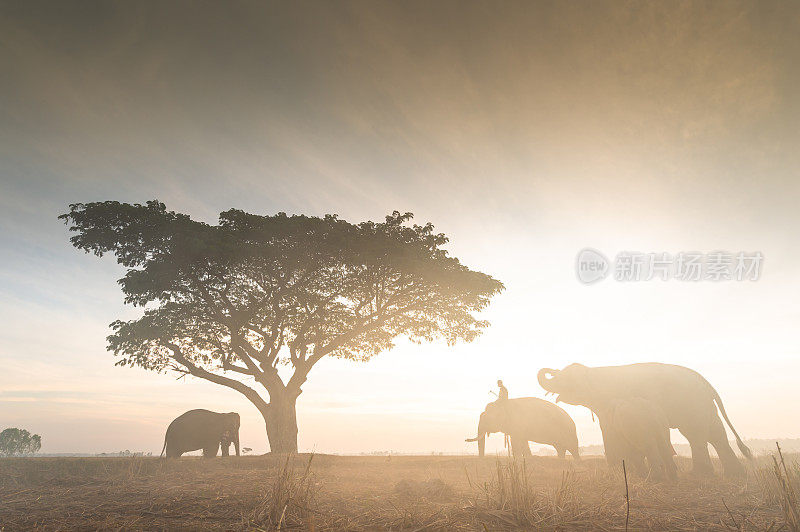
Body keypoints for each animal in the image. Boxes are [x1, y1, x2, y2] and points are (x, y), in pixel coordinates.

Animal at [536, 364, 752, 476]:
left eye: (564, 378)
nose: (551, 370)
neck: (595, 371)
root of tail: (705, 382)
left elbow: (612, 431)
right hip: (703, 406)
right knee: (716, 434)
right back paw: (735, 474)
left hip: (691, 404)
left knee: (697, 435)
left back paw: (699, 474)